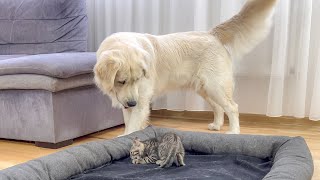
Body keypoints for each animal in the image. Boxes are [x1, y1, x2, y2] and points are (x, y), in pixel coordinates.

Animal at [93, 0, 278, 135]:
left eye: (137, 79)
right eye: (121, 81)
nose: (132, 102)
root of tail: (212, 34)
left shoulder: (141, 101)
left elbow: (132, 127)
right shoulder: (129, 102)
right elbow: (128, 124)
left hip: (215, 86)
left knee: (233, 107)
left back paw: (233, 132)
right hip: (205, 89)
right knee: (218, 107)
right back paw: (217, 125)